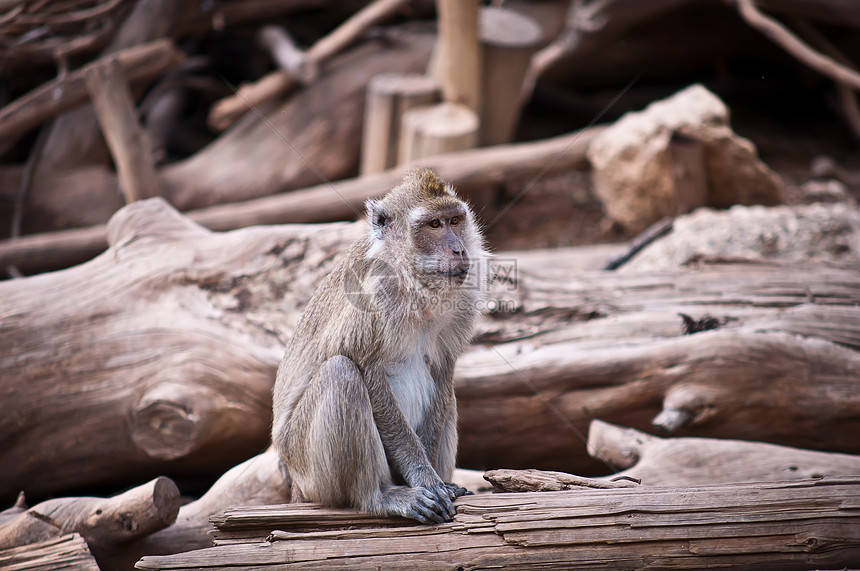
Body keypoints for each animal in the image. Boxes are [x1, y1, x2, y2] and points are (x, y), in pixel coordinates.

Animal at [276, 168, 490, 524]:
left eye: (455, 220)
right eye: (434, 225)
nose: (459, 250)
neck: (414, 284)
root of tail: (296, 485)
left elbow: (442, 372)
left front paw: (437, 480)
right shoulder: (375, 295)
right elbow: (364, 365)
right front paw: (423, 477)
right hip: (310, 470)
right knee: (341, 373)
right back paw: (379, 496)